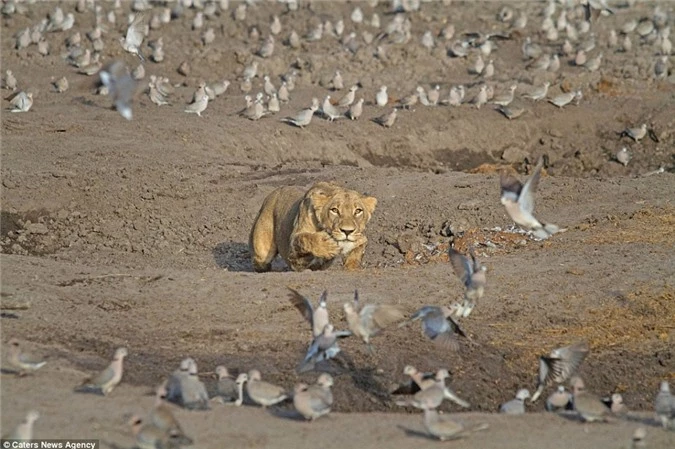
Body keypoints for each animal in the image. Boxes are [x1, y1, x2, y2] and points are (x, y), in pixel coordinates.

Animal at [248, 180, 378, 272]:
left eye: (358, 211)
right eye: (334, 210)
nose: (347, 231)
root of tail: (273, 193)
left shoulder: (360, 237)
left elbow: (358, 248)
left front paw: (352, 266)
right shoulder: (293, 256)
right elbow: (305, 239)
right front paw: (327, 245)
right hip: (262, 252)